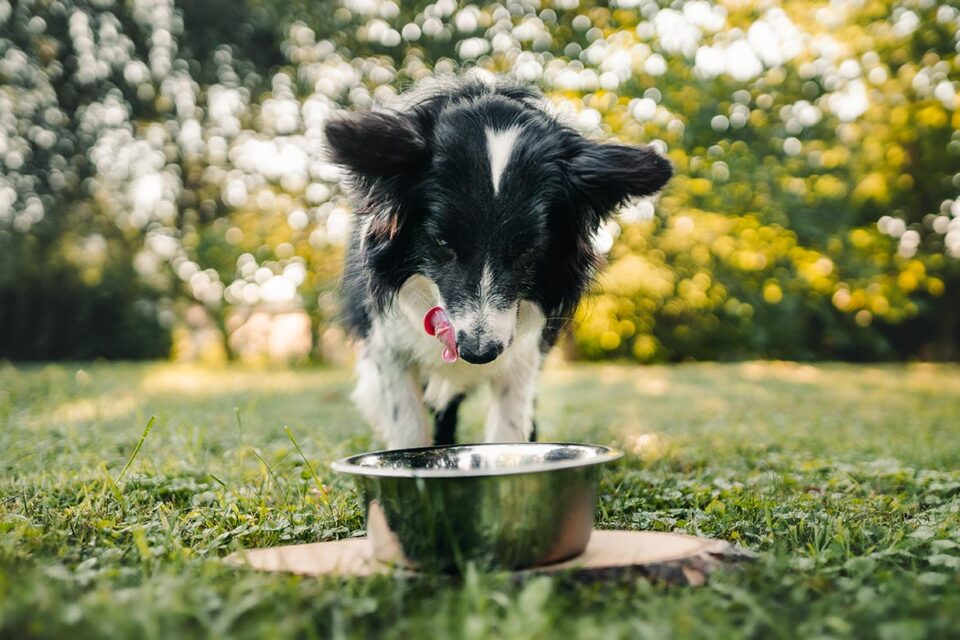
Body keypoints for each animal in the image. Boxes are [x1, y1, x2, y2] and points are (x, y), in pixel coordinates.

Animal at [322, 80, 668, 450]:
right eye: (442, 242)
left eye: (528, 249)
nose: (478, 353)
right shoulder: (389, 347)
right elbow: (407, 425)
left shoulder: (524, 353)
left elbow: (510, 426)